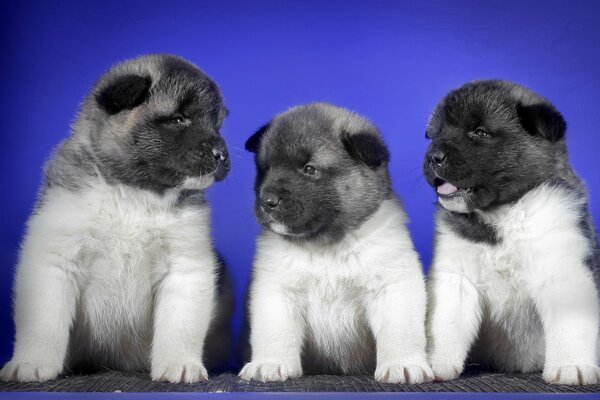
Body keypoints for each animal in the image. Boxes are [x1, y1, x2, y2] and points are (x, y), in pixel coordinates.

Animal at [1, 54, 231, 382]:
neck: (132, 193)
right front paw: (32, 361)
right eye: (178, 119)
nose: (221, 154)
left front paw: (179, 363)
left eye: (216, 125)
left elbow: (179, 325)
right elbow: (43, 321)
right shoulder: (56, 260)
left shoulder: (185, 267)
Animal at [239, 101, 432, 382]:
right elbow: (275, 333)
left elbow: (399, 331)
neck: (326, 245)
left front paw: (402, 364)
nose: (267, 201)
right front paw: (270, 363)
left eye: (309, 169)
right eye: (264, 169)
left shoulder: (392, 288)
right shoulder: (278, 292)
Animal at [424, 80, 596, 384]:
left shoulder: (563, 272)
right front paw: (434, 362)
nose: (433, 157)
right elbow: (445, 323)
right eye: (434, 135)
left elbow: (570, 324)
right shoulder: (456, 277)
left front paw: (571, 365)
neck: (505, 212)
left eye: (480, 132)